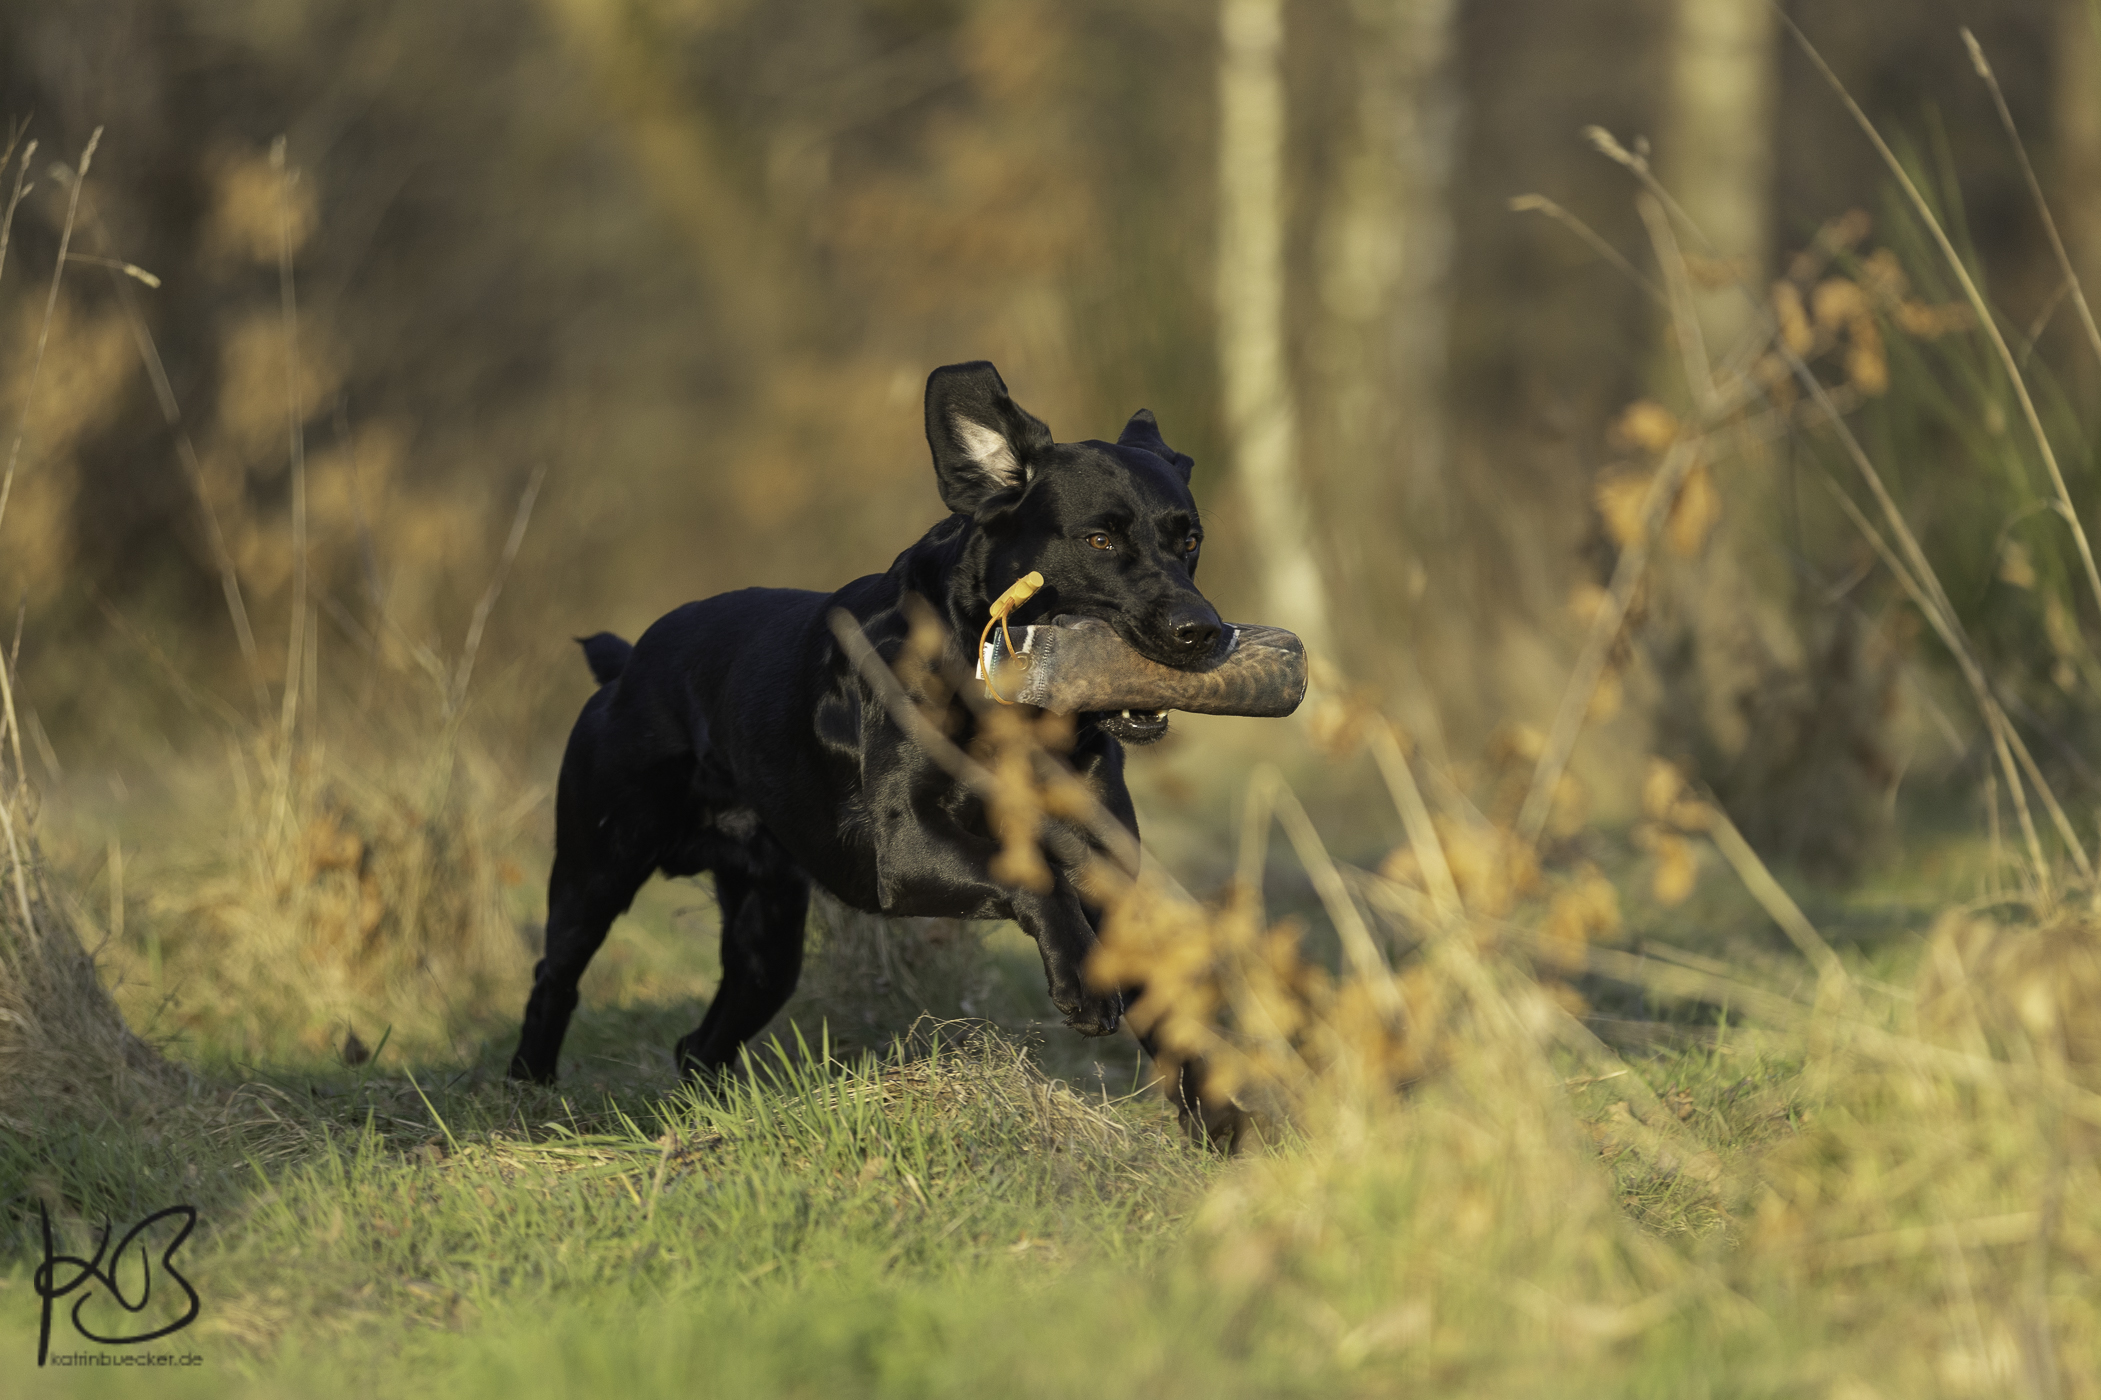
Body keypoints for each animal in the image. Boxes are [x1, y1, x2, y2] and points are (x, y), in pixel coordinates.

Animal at [502, 361, 1235, 1143]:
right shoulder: (907, 849)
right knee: (554, 978)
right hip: (596, 870)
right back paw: (529, 1093)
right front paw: (1080, 987)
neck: (1017, 717)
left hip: (767, 940)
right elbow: (1036, 879)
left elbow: (1164, 1005)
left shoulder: (1107, 868)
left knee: (698, 1042)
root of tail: (625, 664)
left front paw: (1220, 1130)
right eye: (1099, 540)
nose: (1202, 631)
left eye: (1189, 540)